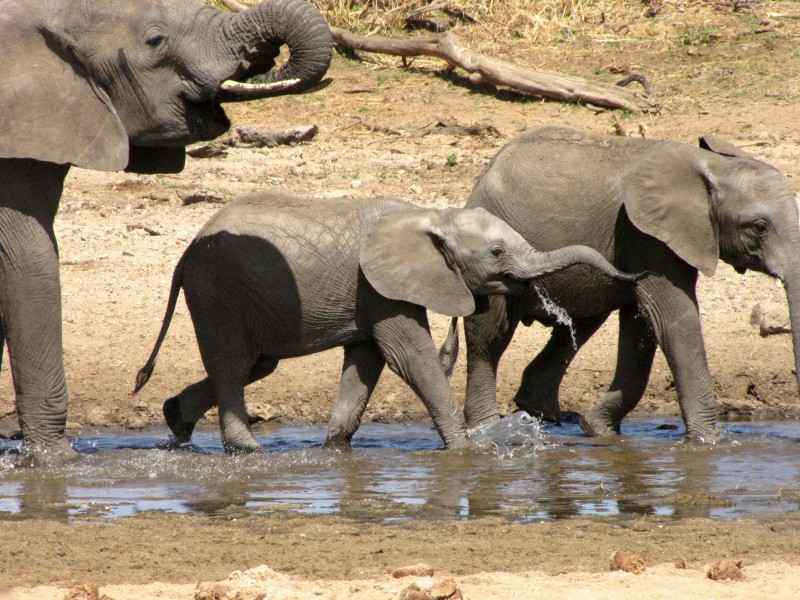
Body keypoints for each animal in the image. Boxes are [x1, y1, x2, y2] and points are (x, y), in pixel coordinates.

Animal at [134, 195, 640, 452]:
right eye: (497, 253)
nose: (632, 276)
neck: (434, 215)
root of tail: (185, 254)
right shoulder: (378, 285)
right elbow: (408, 356)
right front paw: (467, 450)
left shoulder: (373, 293)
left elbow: (367, 360)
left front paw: (334, 449)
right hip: (217, 291)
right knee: (234, 364)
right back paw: (248, 450)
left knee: (255, 365)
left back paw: (176, 421)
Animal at [460, 124, 800, 440]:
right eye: (759, 227)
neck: (712, 166)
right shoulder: (647, 238)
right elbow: (674, 320)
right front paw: (711, 441)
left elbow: (642, 324)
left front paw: (598, 429)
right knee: (488, 339)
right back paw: (486, 429)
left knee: (580, 324)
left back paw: (541, 414)